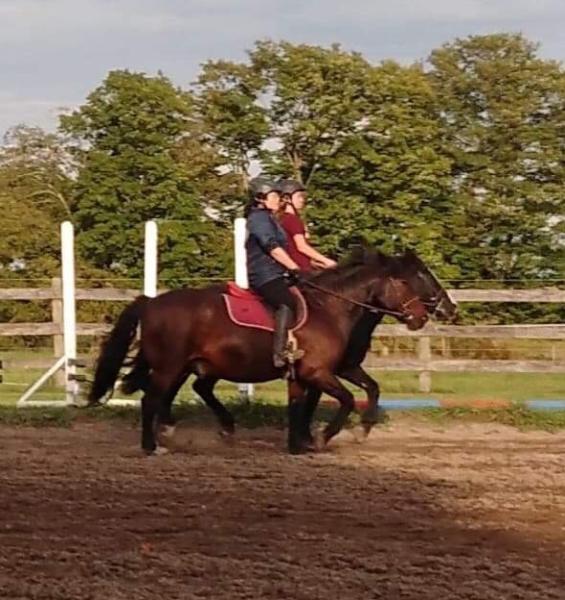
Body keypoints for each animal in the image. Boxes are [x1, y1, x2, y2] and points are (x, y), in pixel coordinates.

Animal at [87, 250, 450, 454]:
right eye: (410, 279)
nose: (424, 316)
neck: (330, 308)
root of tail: (151, 302)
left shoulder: (311, 374)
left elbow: (313, 403)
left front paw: (302, 444)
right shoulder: (319, 372)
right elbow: (346, 400)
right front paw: (322, 438)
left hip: (187, 365)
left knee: (175, 394)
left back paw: (183, 432)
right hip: (170, 366)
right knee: (152, 399)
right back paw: (152, 446)